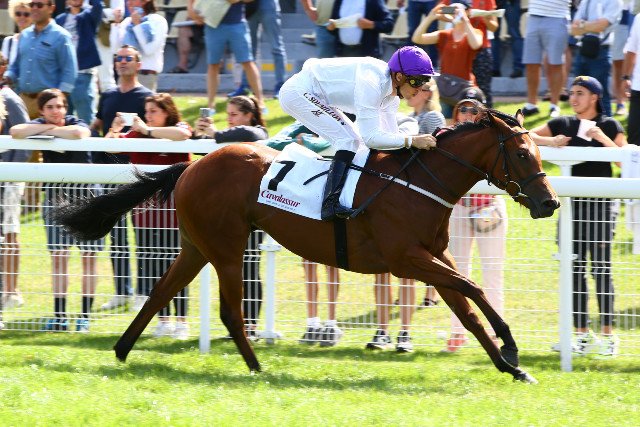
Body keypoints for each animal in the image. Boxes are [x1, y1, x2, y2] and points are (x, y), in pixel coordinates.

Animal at [52, 109, 559, 383]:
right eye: (520, 153)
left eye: (538, 151)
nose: (549, 202)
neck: (418, 183)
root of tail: (192, 164)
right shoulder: (408, 259)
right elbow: (474, 289)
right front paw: (512, 346)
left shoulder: (434, 255)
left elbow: (468, 309)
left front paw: (512, 367)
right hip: (227, 247)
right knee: (230, 312)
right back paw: (257, 368)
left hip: (197, 246)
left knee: (160, 292)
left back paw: (122, 351)